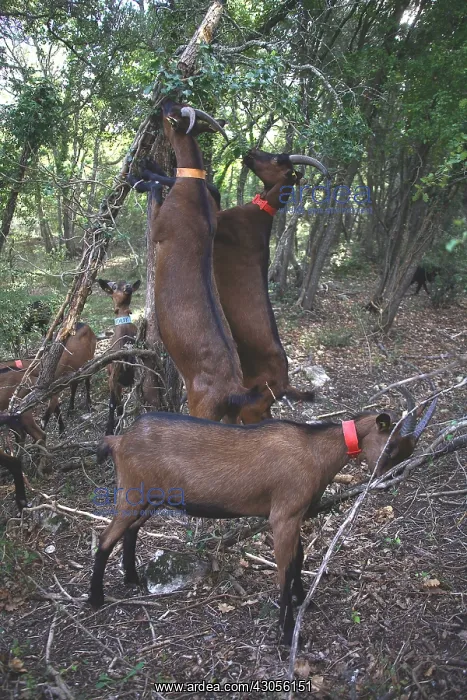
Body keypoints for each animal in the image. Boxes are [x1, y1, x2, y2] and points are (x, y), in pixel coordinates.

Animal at [89, 391, 437, 644]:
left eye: (407, 451)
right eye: (390, 446)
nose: (387, 479)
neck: (314, 452)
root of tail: (118, 440)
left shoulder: (297, 516)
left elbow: (298, 560)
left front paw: (302, 600)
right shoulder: (283, 516)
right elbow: (283, 571)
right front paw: (286, 634)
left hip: (149, 497)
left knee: (131, 531)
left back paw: (132, 578)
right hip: (132, 492)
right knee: (106, 538)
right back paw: (96, 598)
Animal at [97, 279, 140, 435]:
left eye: (128, 283)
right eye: (115, 286)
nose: (128, 287)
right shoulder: (115, 379)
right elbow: (115, 404)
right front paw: (111, 428)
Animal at [146, 99, 263, 422]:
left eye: (169, 113)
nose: (162, 101)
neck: (193, 188)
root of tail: (234, 390)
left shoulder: (160, 227)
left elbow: (153, 197)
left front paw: (144, 173)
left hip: (203, 409)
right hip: (230, 416)